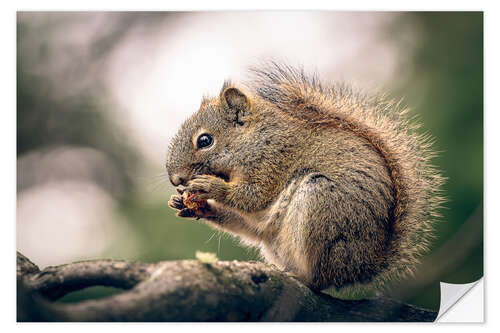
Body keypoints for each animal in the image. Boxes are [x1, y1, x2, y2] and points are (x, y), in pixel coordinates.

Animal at [165, 61, 446, 290]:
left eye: (205, 140)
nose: (175, 179)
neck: (255, 138)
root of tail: (358, 269)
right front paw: (185, 202)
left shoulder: (273, 160)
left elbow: (253, 197)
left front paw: (211, 187)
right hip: (275, 235)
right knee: (255, 229)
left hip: (322, 206)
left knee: (319, 277)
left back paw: (305, 277)